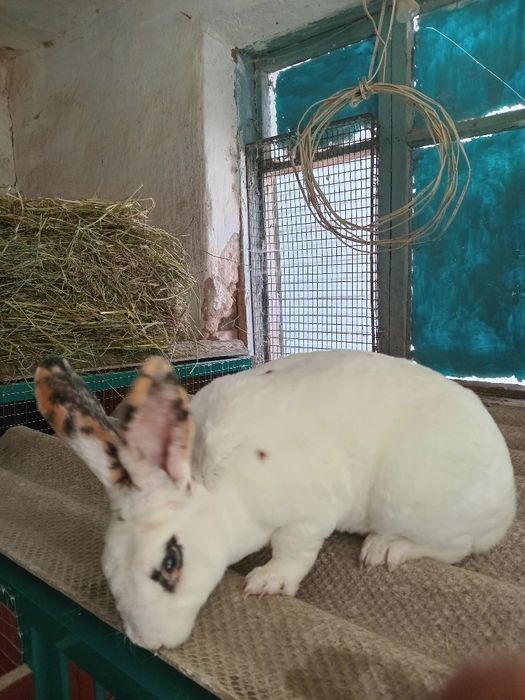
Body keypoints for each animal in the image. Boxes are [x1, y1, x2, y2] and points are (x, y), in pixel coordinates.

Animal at [35, 350, 516, 651]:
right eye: (108, 568)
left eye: (171, 562)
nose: (150, 642)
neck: (220, 487)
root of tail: (506, 502)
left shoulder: (307, 515)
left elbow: (293, 551)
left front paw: (267, 582)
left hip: (415, 502)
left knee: (452, 548)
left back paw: (384, 550)